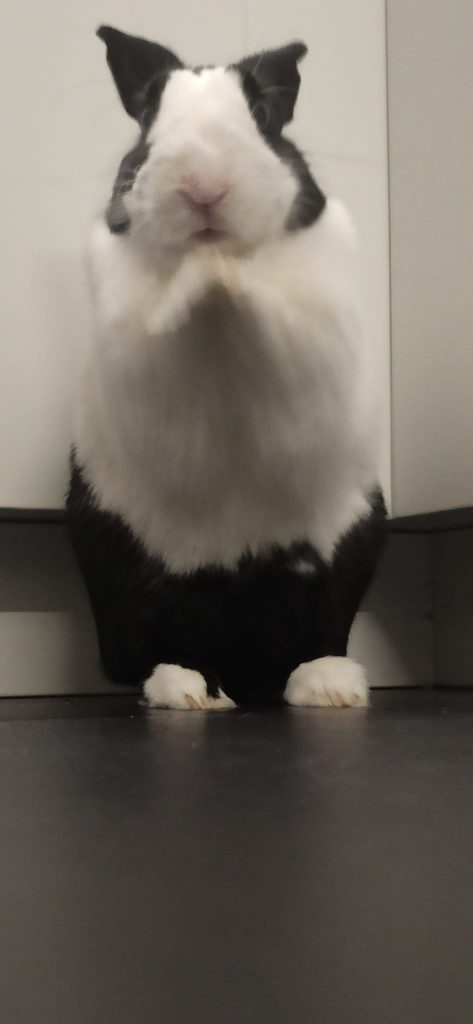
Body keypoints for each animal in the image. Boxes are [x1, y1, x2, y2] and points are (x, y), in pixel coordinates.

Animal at [66, 25, 386, 710]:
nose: (203, 187)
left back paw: (328, 686)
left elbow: (277, 320)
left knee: (315, 639)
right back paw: (188, 691)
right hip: (119, 572)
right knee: (157, 650)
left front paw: (228, 275)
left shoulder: (317, 325)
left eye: (262, 113)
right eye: (149, 117)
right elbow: (159, 324)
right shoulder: (129, 337)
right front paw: (198, 279)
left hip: (353, 549)